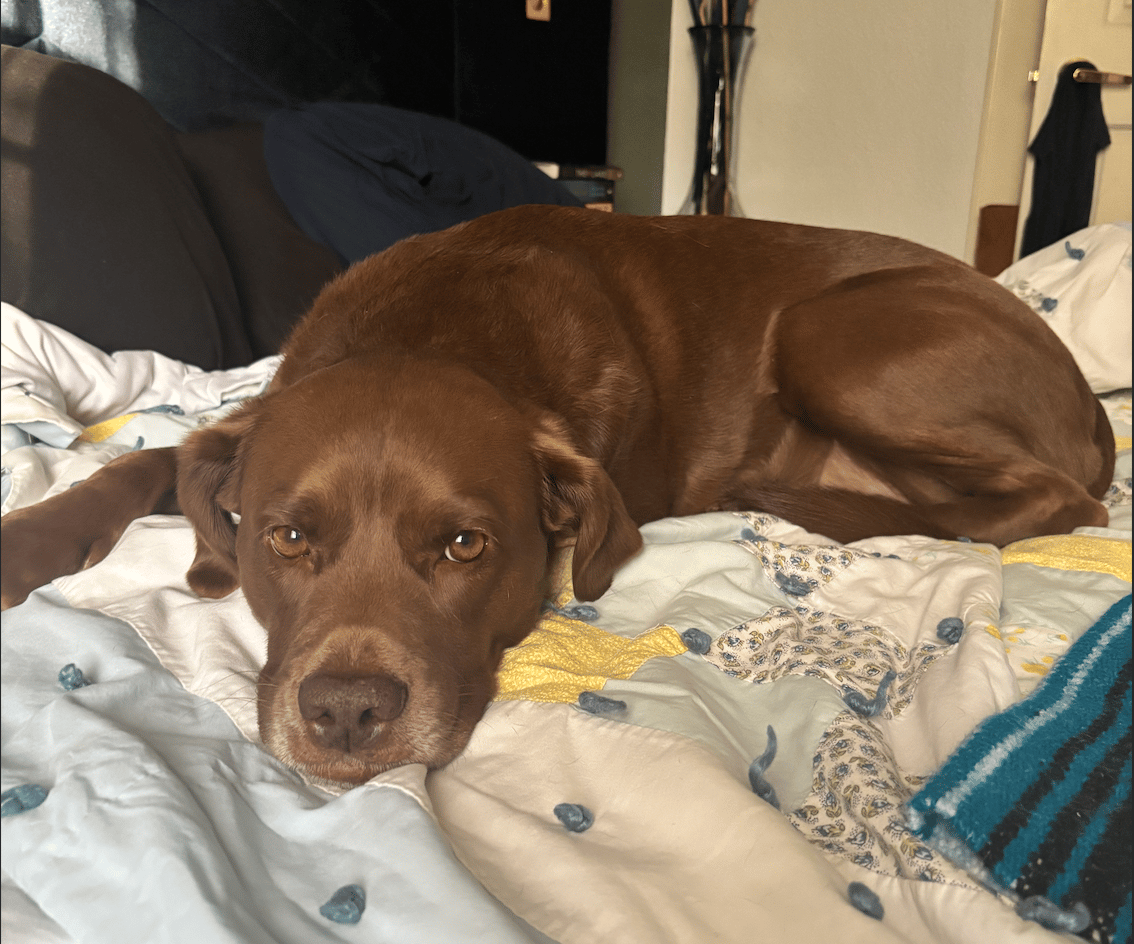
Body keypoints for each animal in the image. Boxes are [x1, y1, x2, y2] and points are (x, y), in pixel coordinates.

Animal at [1, 205, 1114, 786]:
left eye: (464, 545)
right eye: (285, 538)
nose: (349, 711)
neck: (436, 328)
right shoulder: (238, 429)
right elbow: (149, 456)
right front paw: (32, 535)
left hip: (832, 331)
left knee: (1058, 503)